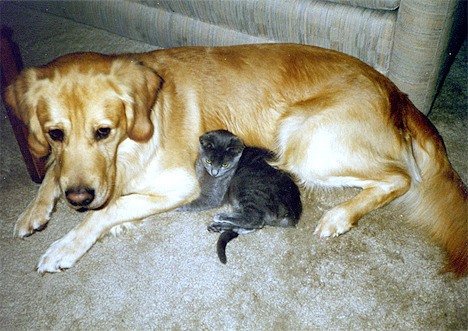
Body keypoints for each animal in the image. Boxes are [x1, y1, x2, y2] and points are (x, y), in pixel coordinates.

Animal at [177, 130, 302, 264]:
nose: (215, 173)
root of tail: (294, 213)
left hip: (246, 184)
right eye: (209, 161)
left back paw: (221, 217)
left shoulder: (211, 197)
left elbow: (191, 202)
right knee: (254, 224)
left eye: (225, 165)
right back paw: (220, 227)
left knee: (254, 219)